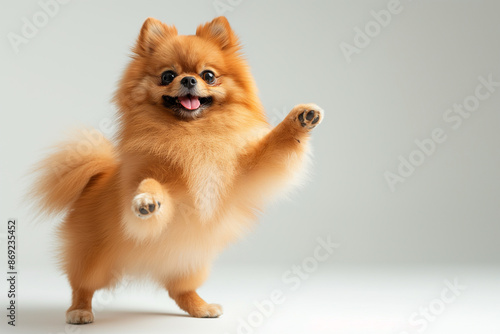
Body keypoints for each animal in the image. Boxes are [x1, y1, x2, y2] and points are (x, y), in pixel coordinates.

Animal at [34, 16, 324, 324]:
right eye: (167, 76)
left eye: (208, 75)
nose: (188, 79)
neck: (192, 133)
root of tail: (97, 176)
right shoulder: (153, 181)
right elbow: (151, 184)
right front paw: (147, 201)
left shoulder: (247, 172)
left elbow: (274, 145)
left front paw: (300, 119)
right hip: (93, 258)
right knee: (82, 285)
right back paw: (79, 310)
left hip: (191, 260)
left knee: (179, 290)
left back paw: (201, 307)